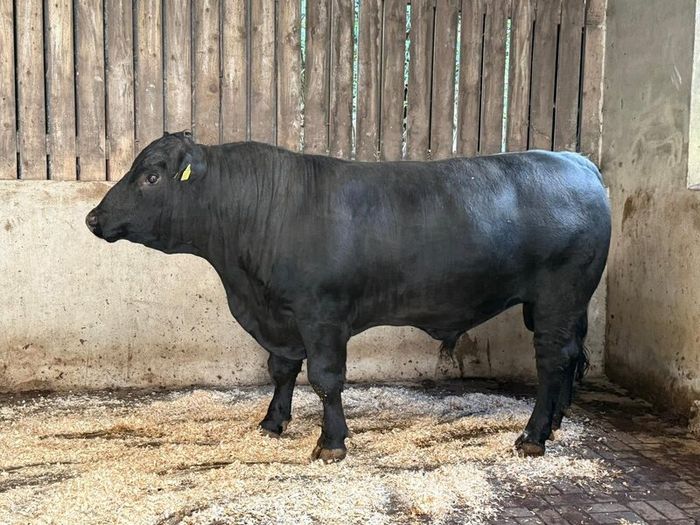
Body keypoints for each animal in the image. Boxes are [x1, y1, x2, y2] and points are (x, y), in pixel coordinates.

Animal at [86, 131, 611, 462]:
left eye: (151, 176)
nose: (92, 218)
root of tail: (577, 161)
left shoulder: (321, 315)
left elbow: (325, 379)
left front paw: (330, 443)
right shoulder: (282, 318)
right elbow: (282, 369)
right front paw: (272, 423)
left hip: (558, 297)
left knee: (551, 360)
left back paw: (533, 436)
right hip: (558, 306)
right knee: (568, 357)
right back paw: (555, 422)